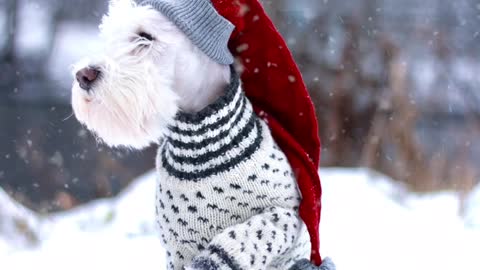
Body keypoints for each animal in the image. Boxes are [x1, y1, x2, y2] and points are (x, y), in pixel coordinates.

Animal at [72, 0, 334, 270]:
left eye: (145, 37)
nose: (83, 75)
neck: (203, 145)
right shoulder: (176, 249)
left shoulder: (288, 215)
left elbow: (256, 229)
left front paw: (213, 258)